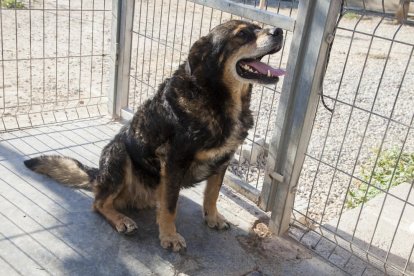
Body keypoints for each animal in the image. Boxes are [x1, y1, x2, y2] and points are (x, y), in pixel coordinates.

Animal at [24, 20, 284, 252]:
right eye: (242, 34)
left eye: (258, 27)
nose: (279, 31)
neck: (214, 97)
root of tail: (97, 175)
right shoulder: (174, 160)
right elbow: (170, 207)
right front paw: (169, 236)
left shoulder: (224, 159)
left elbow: (212, 194)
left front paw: (212, 218)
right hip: (118, 154)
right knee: (99, 203)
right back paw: (121, 220)